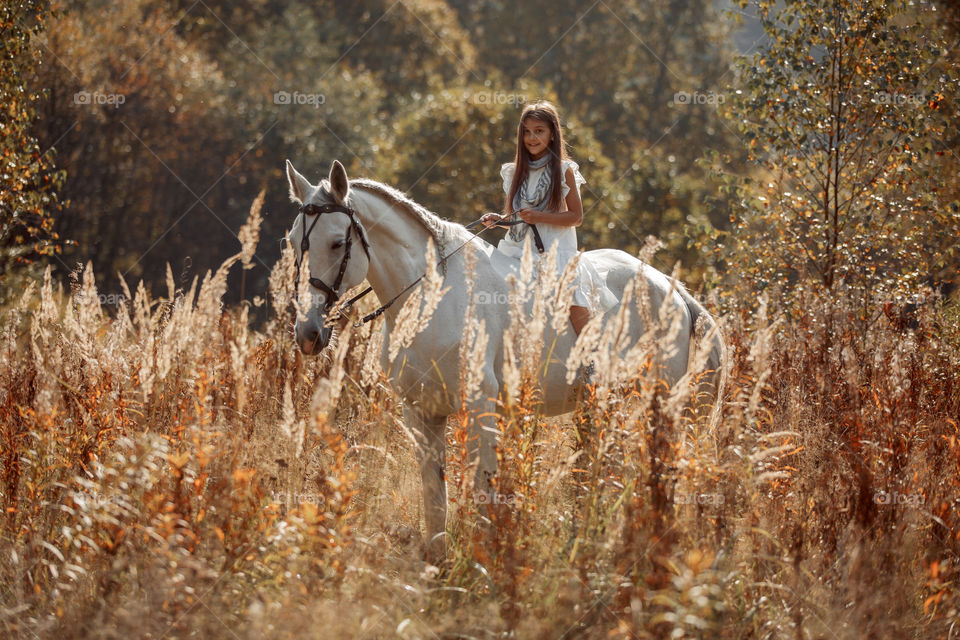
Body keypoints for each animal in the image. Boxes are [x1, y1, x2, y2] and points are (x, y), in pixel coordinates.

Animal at [284, 159, 720, 560]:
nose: (308, 333)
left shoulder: (479, 408)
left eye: (337, 243)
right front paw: (439, 564)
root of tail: (670, 289)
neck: (432, 298)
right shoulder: (422, 411)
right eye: (293, 242)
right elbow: (434, 494)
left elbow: (483, 489)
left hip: (657, 402)